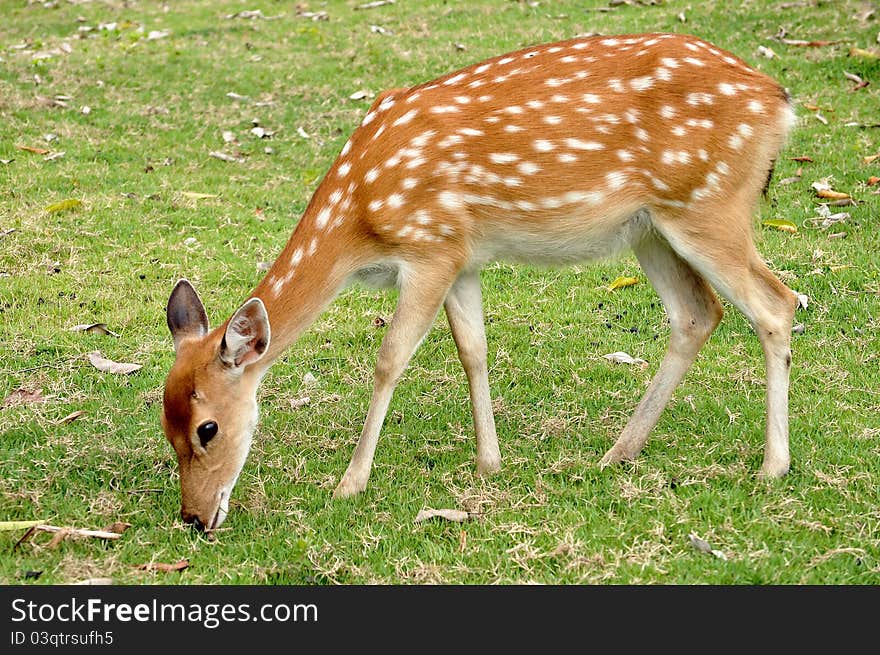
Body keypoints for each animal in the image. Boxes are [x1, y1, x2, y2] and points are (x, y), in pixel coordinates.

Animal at [160, 33, 796, 532]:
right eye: (163, 424)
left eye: (207, 429)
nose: (194, 518)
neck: (360, 218)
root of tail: (779, 101)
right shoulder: (463, 256)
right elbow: (473, 349)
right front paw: (490, 462)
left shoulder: (431, 247)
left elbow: (390, 357)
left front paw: (350, 483)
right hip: (651, 227)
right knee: (697, 313)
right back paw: (618, 451)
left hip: (708, 203)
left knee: (777, 302)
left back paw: (772, 467)